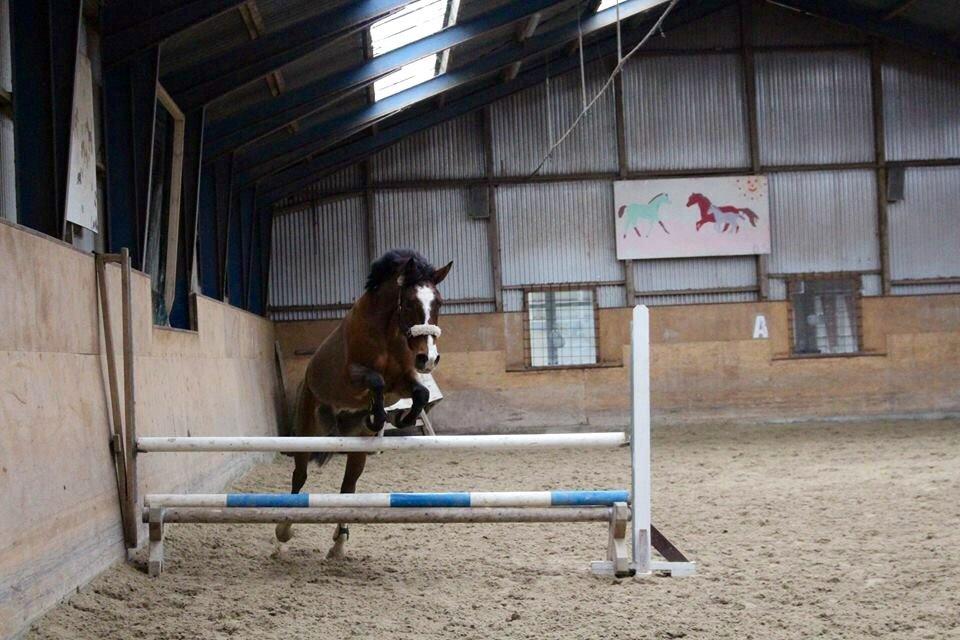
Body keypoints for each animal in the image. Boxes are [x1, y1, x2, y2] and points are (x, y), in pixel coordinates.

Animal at [276, 248, 452, 556]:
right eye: (408, 302)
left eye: (438, 302)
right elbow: (376, 382)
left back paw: (339, 542)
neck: (388, 331)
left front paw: (399, 418)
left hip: (357, 451)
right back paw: (284, 531)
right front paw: (378, 415)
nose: (428, 358)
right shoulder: (354, 377)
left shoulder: (404, 380)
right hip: (307, 434)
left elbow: (420, 393)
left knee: (348, 488)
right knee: (300, 476)